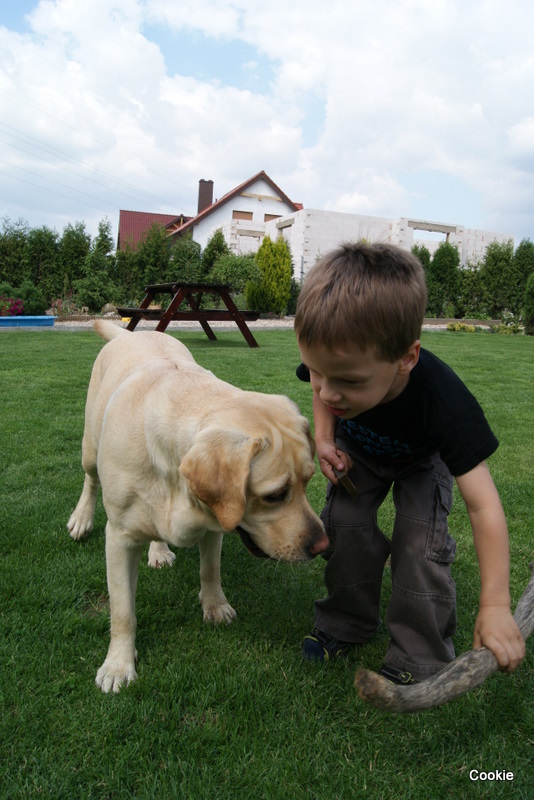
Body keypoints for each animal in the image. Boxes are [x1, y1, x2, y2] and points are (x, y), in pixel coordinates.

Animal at [66, 322, 326, 692]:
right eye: (275, 495)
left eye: (308, 480)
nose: (322, 545)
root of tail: (129, 333)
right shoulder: (119, 538)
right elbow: (122, 611)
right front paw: (118, 665)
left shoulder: (214, 522)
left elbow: (210, 569)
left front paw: (215, 605)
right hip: (90, 445)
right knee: (89, 479)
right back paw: (81, 518)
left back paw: (159, 550)